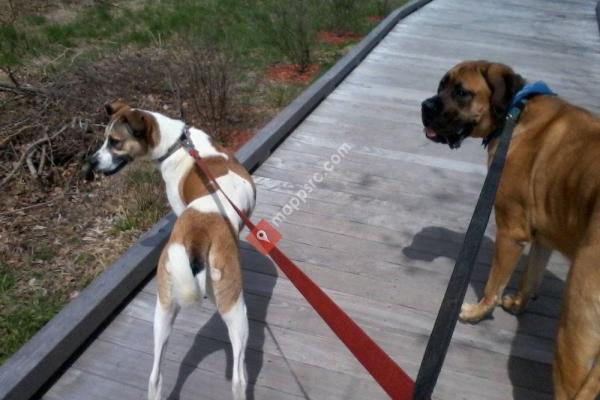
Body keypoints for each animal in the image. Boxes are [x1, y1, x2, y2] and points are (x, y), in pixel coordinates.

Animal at [89, 101, 256, 400]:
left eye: (114, 141)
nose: (91, 163)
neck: (177, 143)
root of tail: (199, 229)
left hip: (164, 310)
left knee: (155, 377)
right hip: (235, 310)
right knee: (239, 379)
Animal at [421, 61, 600, 399]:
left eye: (462, 92)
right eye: (440, 86)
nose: (425, 106)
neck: (514, 112)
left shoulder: (510, 232)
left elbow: (494, 283)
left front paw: (477, 312)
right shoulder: (543, 233)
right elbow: (532, 274)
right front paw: (518, 302)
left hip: (576, 330)